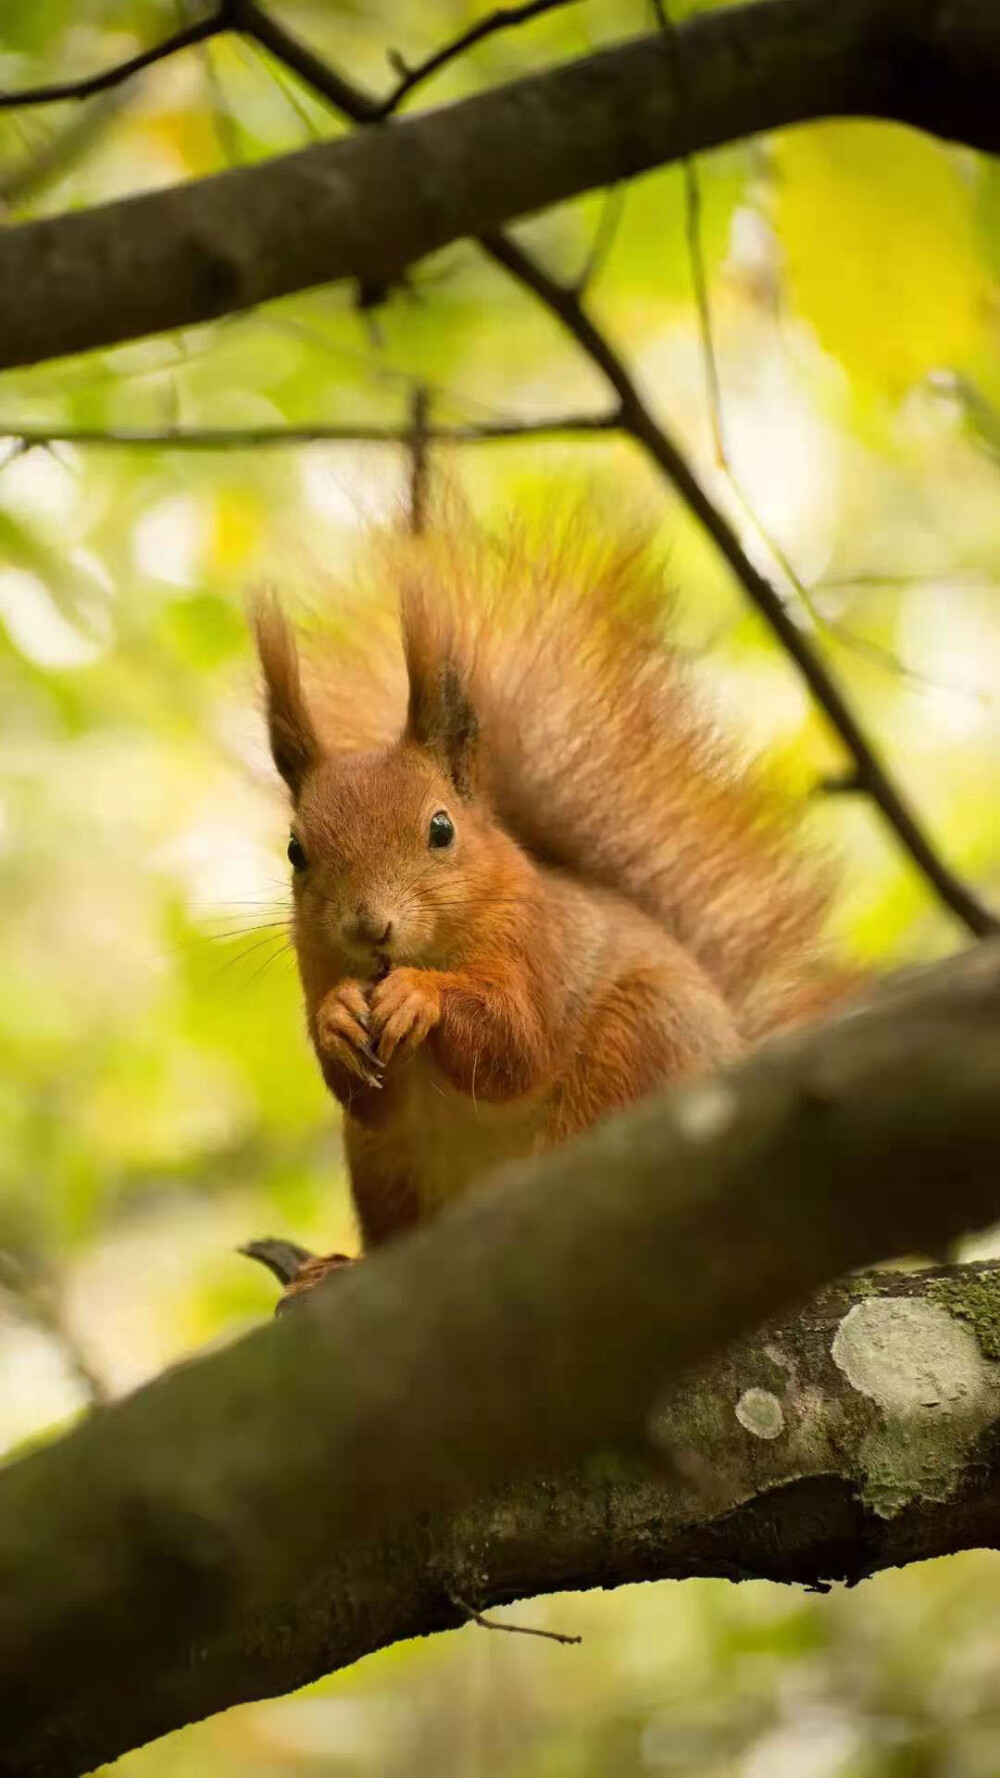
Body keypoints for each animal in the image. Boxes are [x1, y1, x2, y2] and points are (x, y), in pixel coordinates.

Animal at [247, 519, 839, 1315]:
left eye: (441, 829)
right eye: (295, 851)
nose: (369, 929)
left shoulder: (538, 943)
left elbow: (515, 1043)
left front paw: (419, 997)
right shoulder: (317, 971)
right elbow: (360, 1087)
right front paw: (341, 1017)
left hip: (637, 1050)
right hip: (386, 1169)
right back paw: (340, 1272)